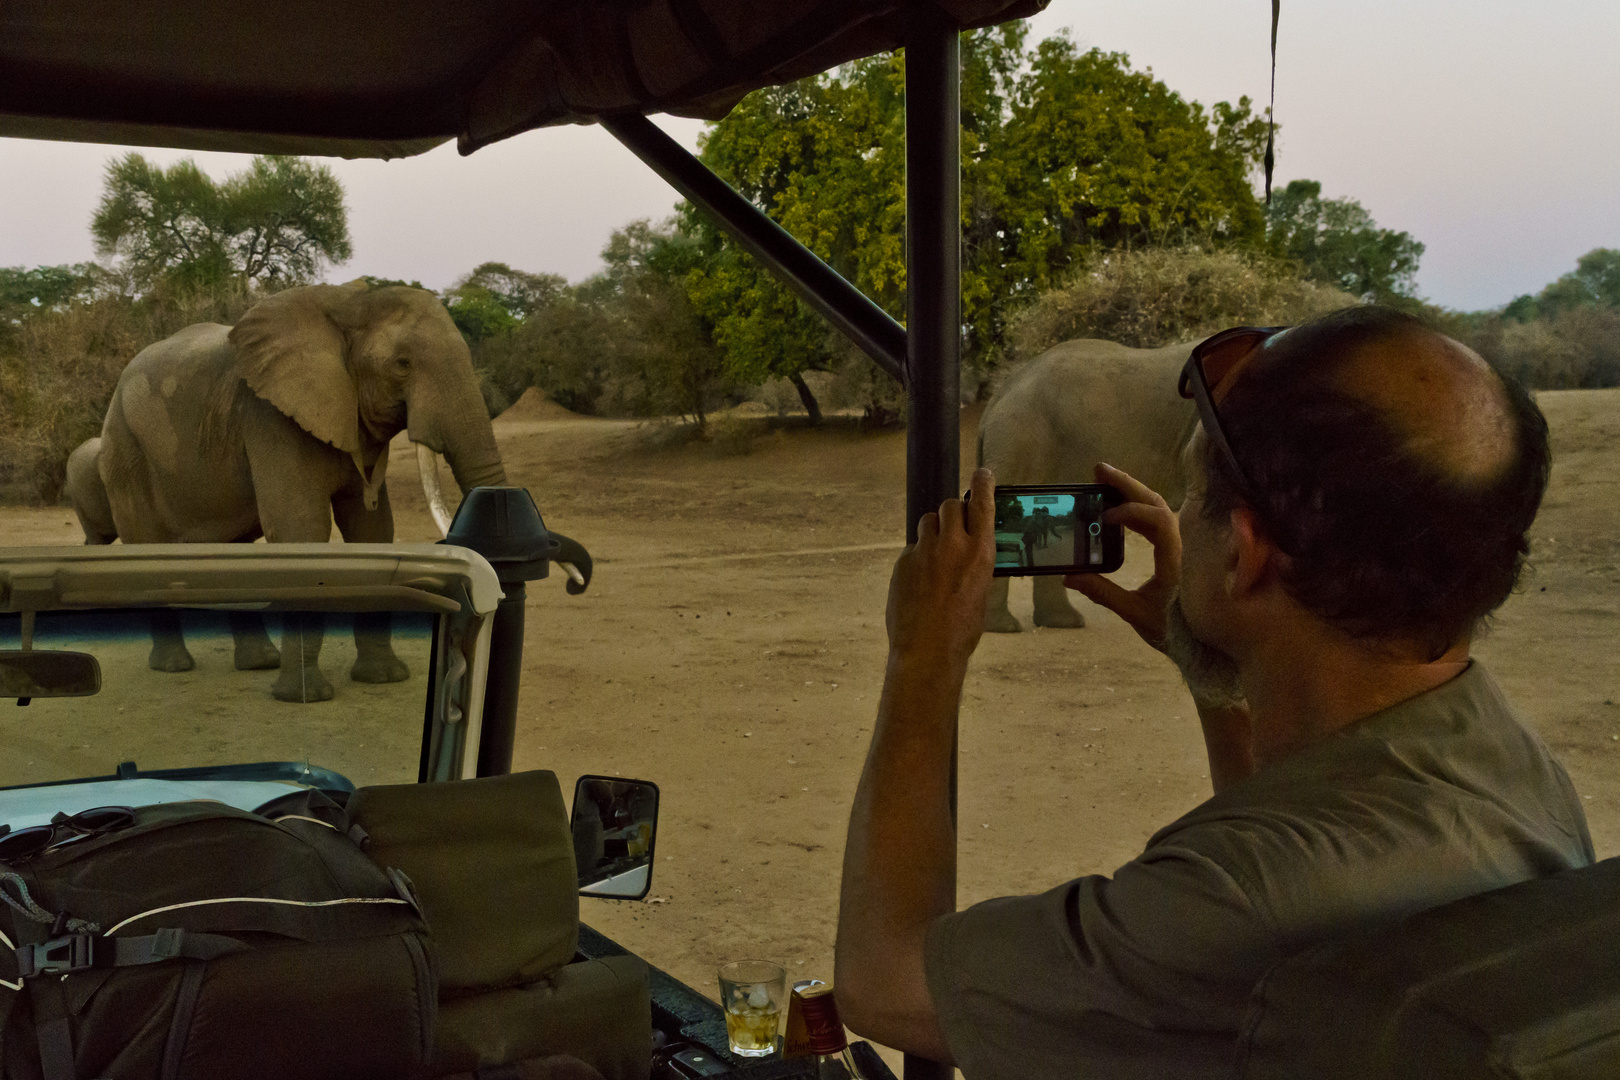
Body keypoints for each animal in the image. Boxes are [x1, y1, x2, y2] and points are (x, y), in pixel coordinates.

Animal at [66, 281, 505, 702]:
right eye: (402, 365)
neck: (351, 307)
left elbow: (372, 528)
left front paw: (383, 678)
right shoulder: (270, 417)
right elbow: (302, 528)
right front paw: (304, 698)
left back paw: (260, 662)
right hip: (127, 453)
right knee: (147, 543)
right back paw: (174, 666)